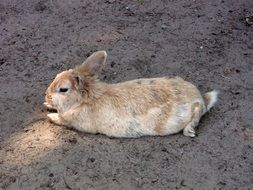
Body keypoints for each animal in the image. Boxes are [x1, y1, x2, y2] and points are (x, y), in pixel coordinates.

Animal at [44, 50, 218, 137]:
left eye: (63, 89)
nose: (46, 95)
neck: (86, 98)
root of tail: (200, 98)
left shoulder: (76, 122)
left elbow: (62, 119)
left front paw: (50, 116)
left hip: (192, 111)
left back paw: (189, 131)